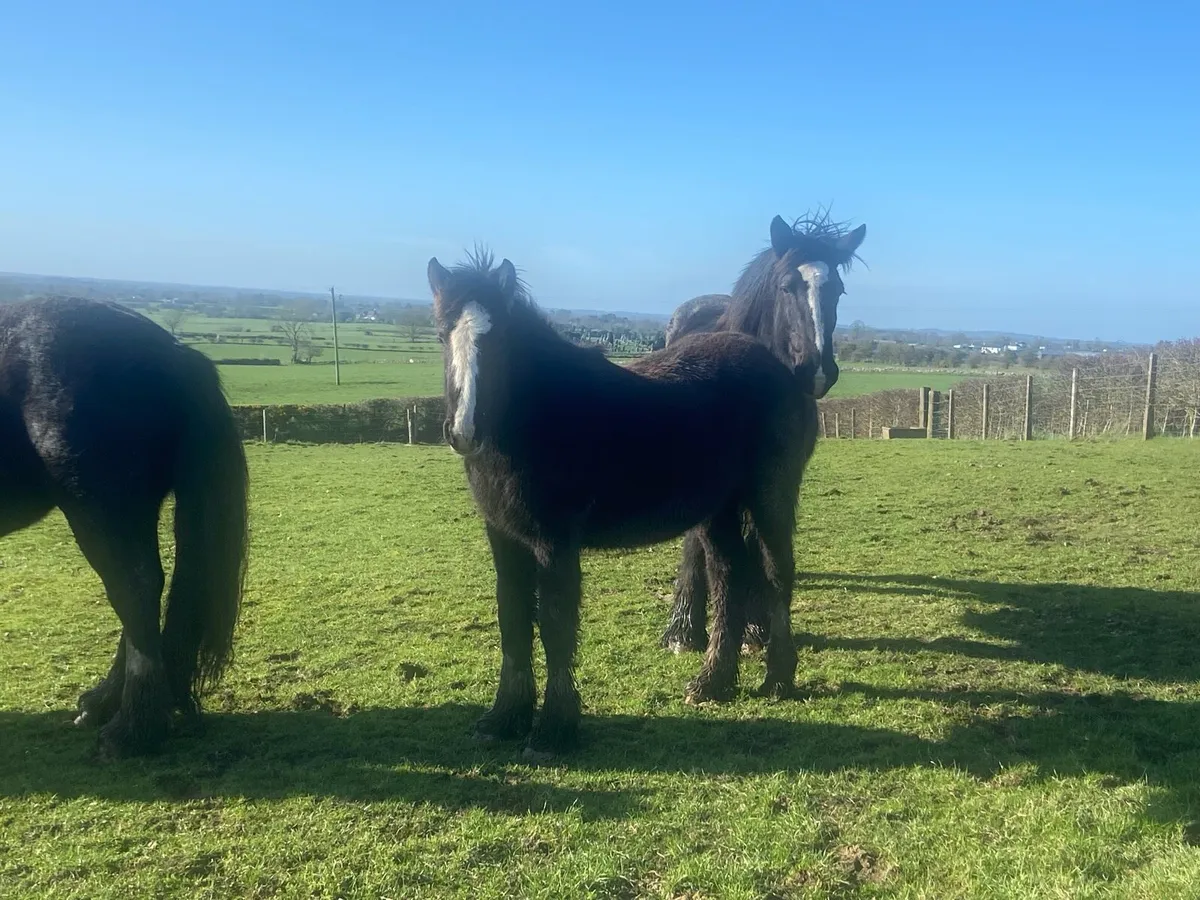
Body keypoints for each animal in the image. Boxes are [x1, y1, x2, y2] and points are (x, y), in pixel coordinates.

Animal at [427, 250, 811, 758]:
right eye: (440, 332)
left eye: (501, 337)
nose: (464, 431)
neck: (537, 416)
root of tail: (779, 370)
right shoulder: (504, 536)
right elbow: (513, 620)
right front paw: (504, 717)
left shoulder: (554, 543)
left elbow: (555, 625)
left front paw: (553, 731)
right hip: (719, 511)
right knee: (729, 576)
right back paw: (711, 684)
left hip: (769, 499)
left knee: (775, 573)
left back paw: (777, 680)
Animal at [659, 212, 867, 654]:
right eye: (786, 287)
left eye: (838, 290)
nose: (817, 371)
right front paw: (683, 630)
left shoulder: (782, 479)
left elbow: (762, 542)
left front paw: (755, 626)